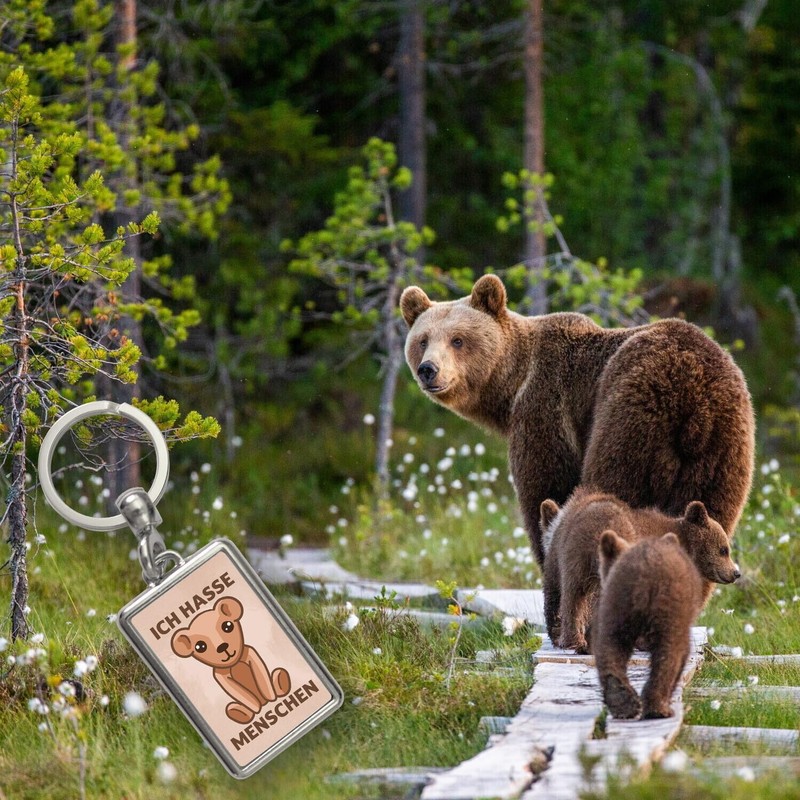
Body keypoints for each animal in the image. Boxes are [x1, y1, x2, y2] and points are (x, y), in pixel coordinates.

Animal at [171, 596, 292, 724]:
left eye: (227, 626)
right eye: (200, 646)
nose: (222, 647)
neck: (234, 664)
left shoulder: (252, 654)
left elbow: (262, 678)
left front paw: (271, 698)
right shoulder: (220, 676)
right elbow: (241, 693)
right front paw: (256, 708)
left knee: (277, 675)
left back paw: (281, 681)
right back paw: (239, 713)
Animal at [399, 274, 755, 569]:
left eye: (458, 339)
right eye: (423, 340)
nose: (429, 369)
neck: (512, 386)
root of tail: (695, 400)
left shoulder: (546, 408)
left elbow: (546, 486)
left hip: (632, 416)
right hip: (724, 449)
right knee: (711, 515)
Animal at [593, 530, 710, 719]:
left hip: (617, 605)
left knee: (610, 647)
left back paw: (622, 702)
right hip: (669, 610)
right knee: (669, 654)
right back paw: (658, 708)